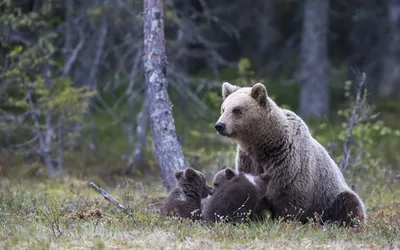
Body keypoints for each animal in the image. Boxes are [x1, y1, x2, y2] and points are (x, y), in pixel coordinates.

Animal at [214, 82, 368, 227]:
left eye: (236, 109)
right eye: (223, 108)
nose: (219, 125)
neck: (264, 144)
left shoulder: (288, 161)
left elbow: (289, 197)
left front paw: (286, 221)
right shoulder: (249, 160)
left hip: (331, 196)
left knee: (348, 203)